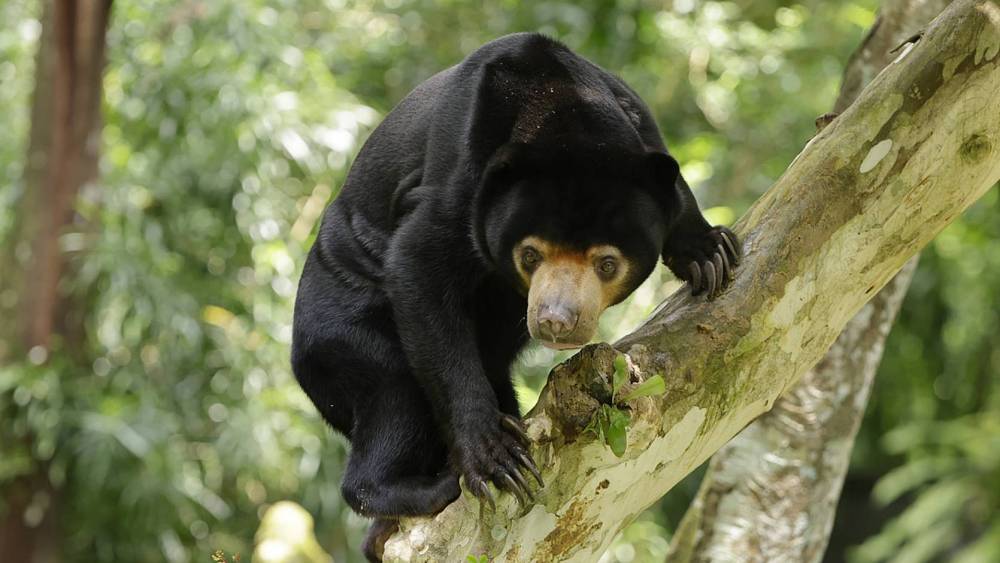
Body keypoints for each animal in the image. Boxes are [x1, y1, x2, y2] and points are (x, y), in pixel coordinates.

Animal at [291, 32, 740, 561]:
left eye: (607, 263)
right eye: (530, 254)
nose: (556, 320)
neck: (554, 104)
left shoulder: (635, 117)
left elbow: (674, 190)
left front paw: (710, 254)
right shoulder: (463, 183)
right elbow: (417, 266)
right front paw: (494, 454)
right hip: (339, 332)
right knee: (391, 391)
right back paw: (420, 490)